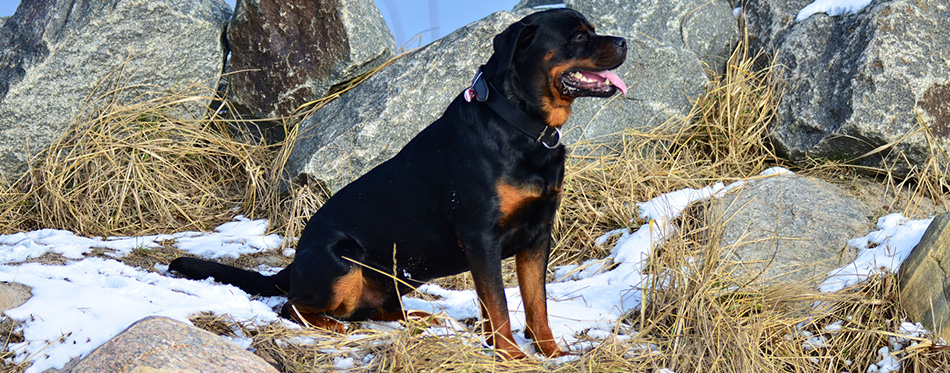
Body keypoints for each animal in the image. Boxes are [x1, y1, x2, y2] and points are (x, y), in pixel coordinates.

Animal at [169, 8, 632, 358]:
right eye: (578, 36)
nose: (625, 41)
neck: (522, 127)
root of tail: (294, 263)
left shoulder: (538, 236)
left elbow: (538, 307)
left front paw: (553, 354)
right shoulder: (480, 236)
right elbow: (499, 306)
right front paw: (511, 356)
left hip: (400, 273)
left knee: (379, 310)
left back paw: (422, 319)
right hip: (343, 264)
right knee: (293, 307)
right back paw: (333, 327)